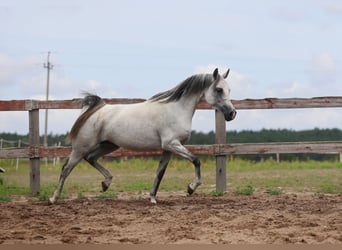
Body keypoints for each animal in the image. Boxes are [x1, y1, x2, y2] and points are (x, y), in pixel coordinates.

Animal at [48, 67, 235, 204]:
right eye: (219, 89)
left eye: (229, 89)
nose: (232, 113)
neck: (176, 109)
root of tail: (97, 109)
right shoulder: (171, 144)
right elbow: (196, 160)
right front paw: (191, 188)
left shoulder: (168, 149)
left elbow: (160, 173)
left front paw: (152, 198)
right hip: (81, 147)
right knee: (66, 169)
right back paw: (53, 198)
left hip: (109, 145)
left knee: (91, 158)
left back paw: (106, 184)